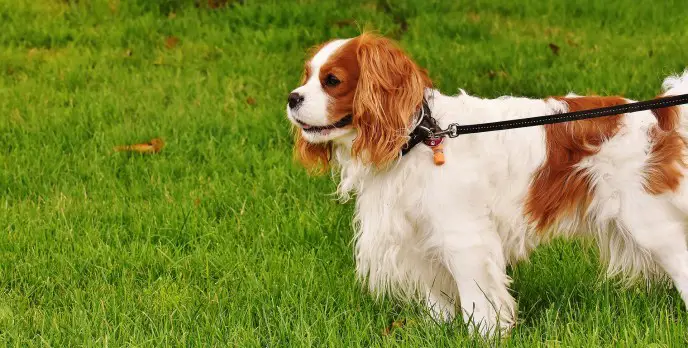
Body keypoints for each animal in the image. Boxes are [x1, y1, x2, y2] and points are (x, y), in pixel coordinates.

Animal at [284, 32, 688, 334]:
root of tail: (657, 115)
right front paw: (438, 330)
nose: (292, 97)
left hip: (649, 223)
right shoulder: (419, 235)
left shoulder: (464, 237)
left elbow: (478, 300)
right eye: (306, 76)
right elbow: (437, 298)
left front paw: (484, 335)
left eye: (332, 81)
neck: (419, 138)